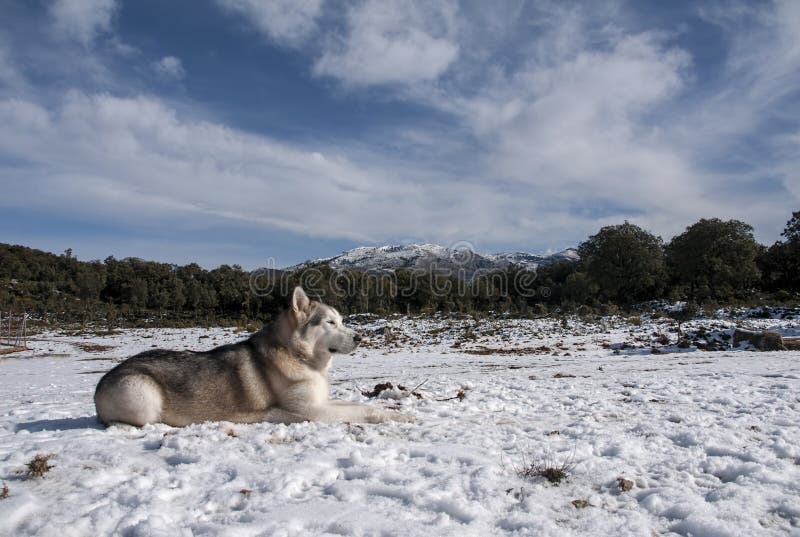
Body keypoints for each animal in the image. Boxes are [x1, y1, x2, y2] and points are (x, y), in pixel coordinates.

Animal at [95, 286, 412, 426]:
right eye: (330, 323)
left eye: (343, 321)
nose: (360, 338)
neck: (299, 357)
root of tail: (102, 382)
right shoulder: (313, 412)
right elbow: (365, 410)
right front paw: (395, 415)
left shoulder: (322, 402)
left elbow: (355, 403)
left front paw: (395, 408)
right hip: (143, 395)